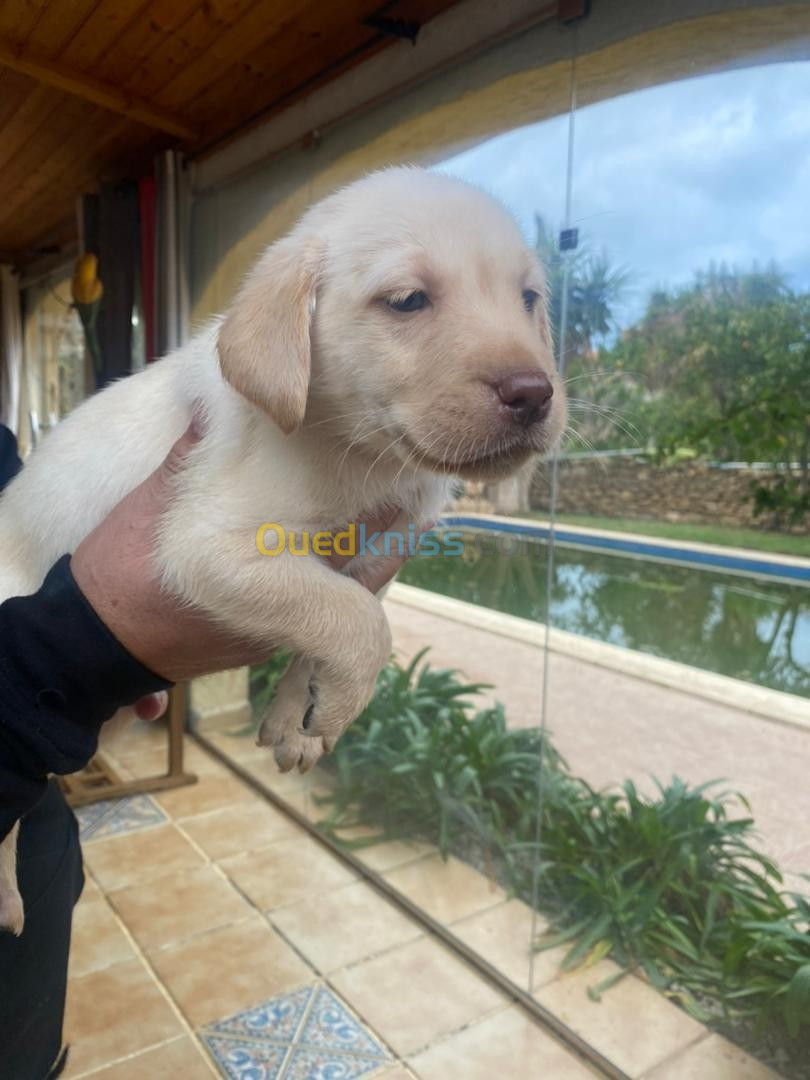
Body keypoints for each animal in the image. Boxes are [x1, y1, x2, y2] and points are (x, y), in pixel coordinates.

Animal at [0, 164, 565, 933]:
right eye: (408, 300)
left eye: (528, 298)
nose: (536, 393)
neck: (354, 453)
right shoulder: (202, 547)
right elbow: (358, 623)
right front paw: (338, 704)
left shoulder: (370, 555)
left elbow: (336, 612)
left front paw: (298, 714)